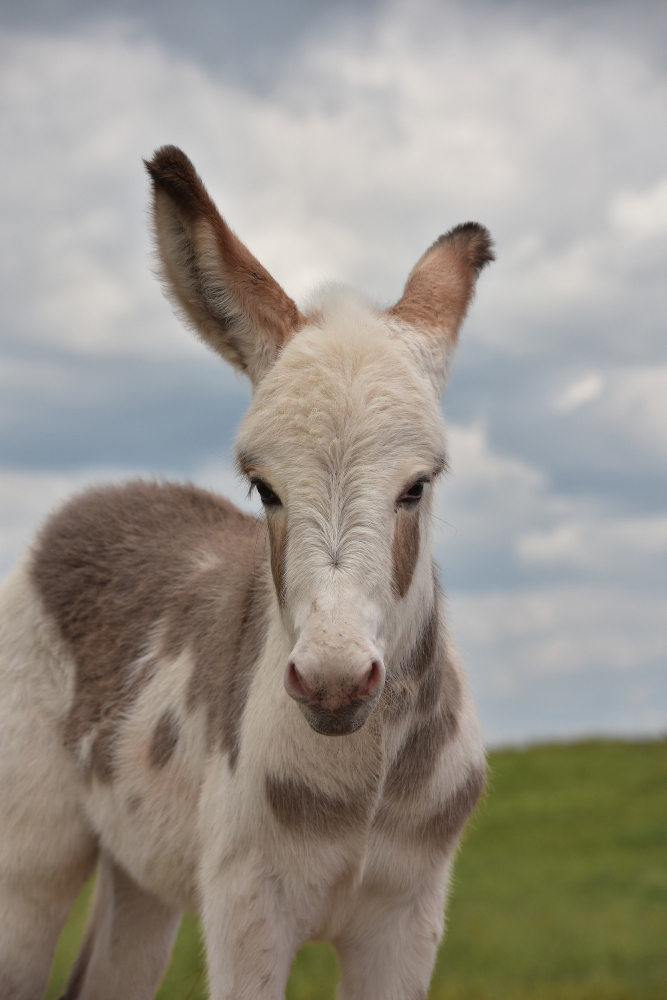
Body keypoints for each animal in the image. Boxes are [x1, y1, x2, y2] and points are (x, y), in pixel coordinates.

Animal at [0, 146, 490, 1000]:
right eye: (263, 487)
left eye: (418, 485)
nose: (333, 683)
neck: (360, 789)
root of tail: (96, 497)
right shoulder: (246, 905)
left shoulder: (406, 917)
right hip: (30, 856)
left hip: (141, 870)